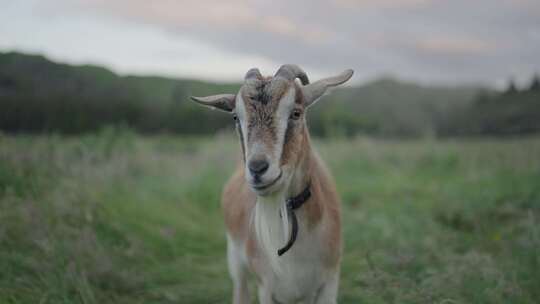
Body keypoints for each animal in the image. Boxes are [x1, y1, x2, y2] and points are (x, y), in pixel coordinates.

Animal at [191, 65, 354, 302]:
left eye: (296, 112)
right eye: (235, 117)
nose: (257, 168)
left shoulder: (329, 282)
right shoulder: (266, 287)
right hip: (236, 262)